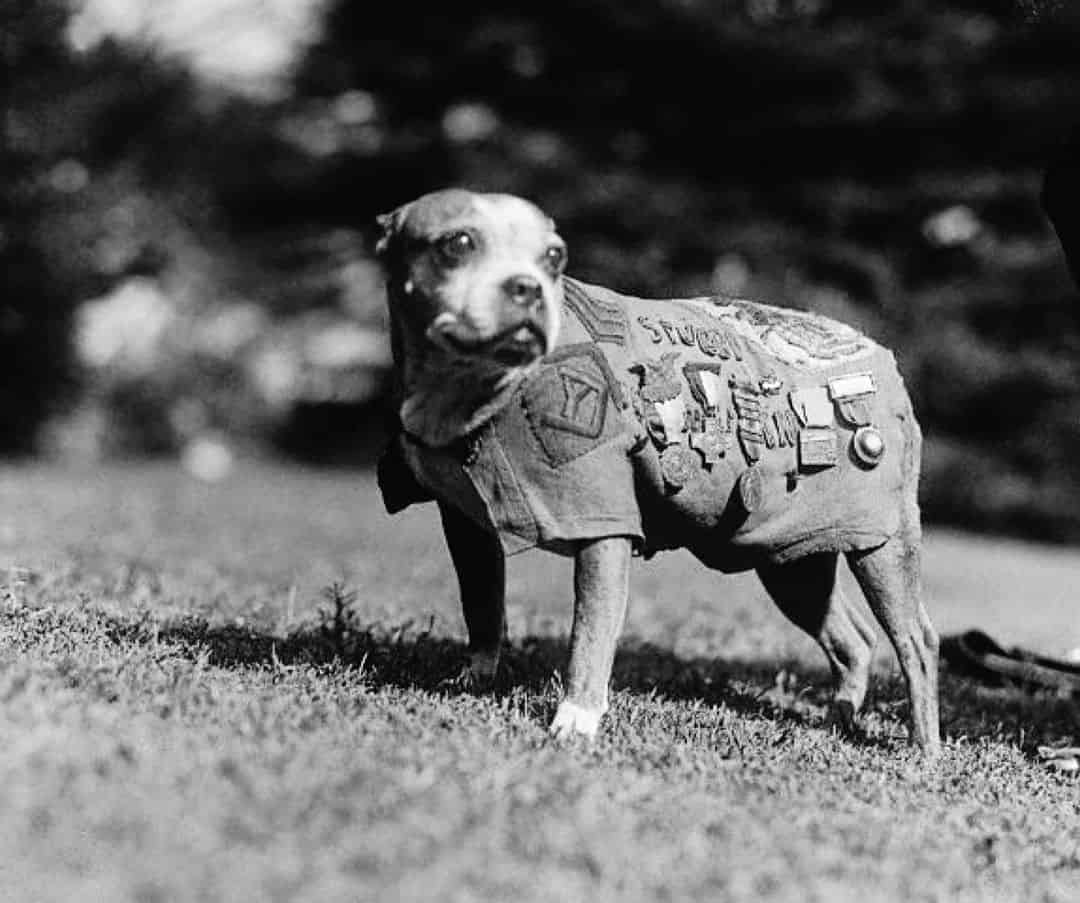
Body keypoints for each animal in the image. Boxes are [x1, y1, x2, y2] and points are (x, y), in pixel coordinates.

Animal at [375, 190, 941, 756]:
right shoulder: (466, 527)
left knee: (917, 641)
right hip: (791, 558)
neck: (471, 392)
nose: (527, 286)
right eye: (457, 243)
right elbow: (482, 606)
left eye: (555, 256)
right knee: (853, 639)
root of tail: (880, 356)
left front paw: (575, 721)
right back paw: (838, 720)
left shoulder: (604, 529)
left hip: (883, 547)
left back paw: (923, 747)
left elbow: (590, 633)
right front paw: (474, 679)